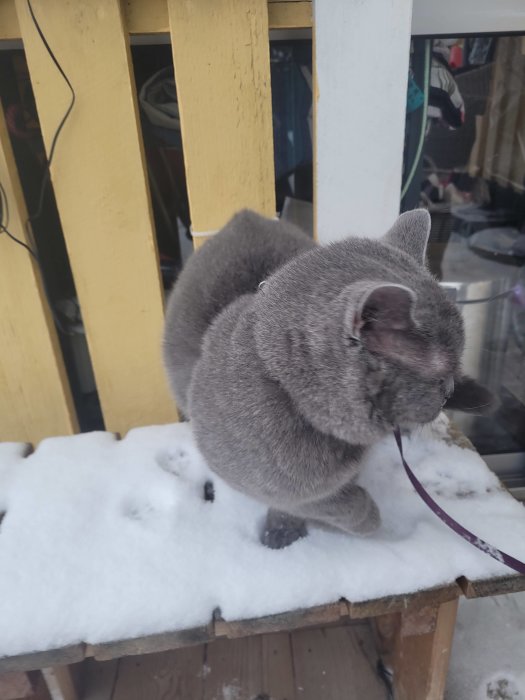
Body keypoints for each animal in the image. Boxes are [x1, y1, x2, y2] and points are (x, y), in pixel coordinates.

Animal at [164, 211, 492, 548]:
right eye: (440, 376)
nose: (450, 388)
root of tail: (243, 216)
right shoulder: (246, 475)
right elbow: (319, 501)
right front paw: (361, 518)